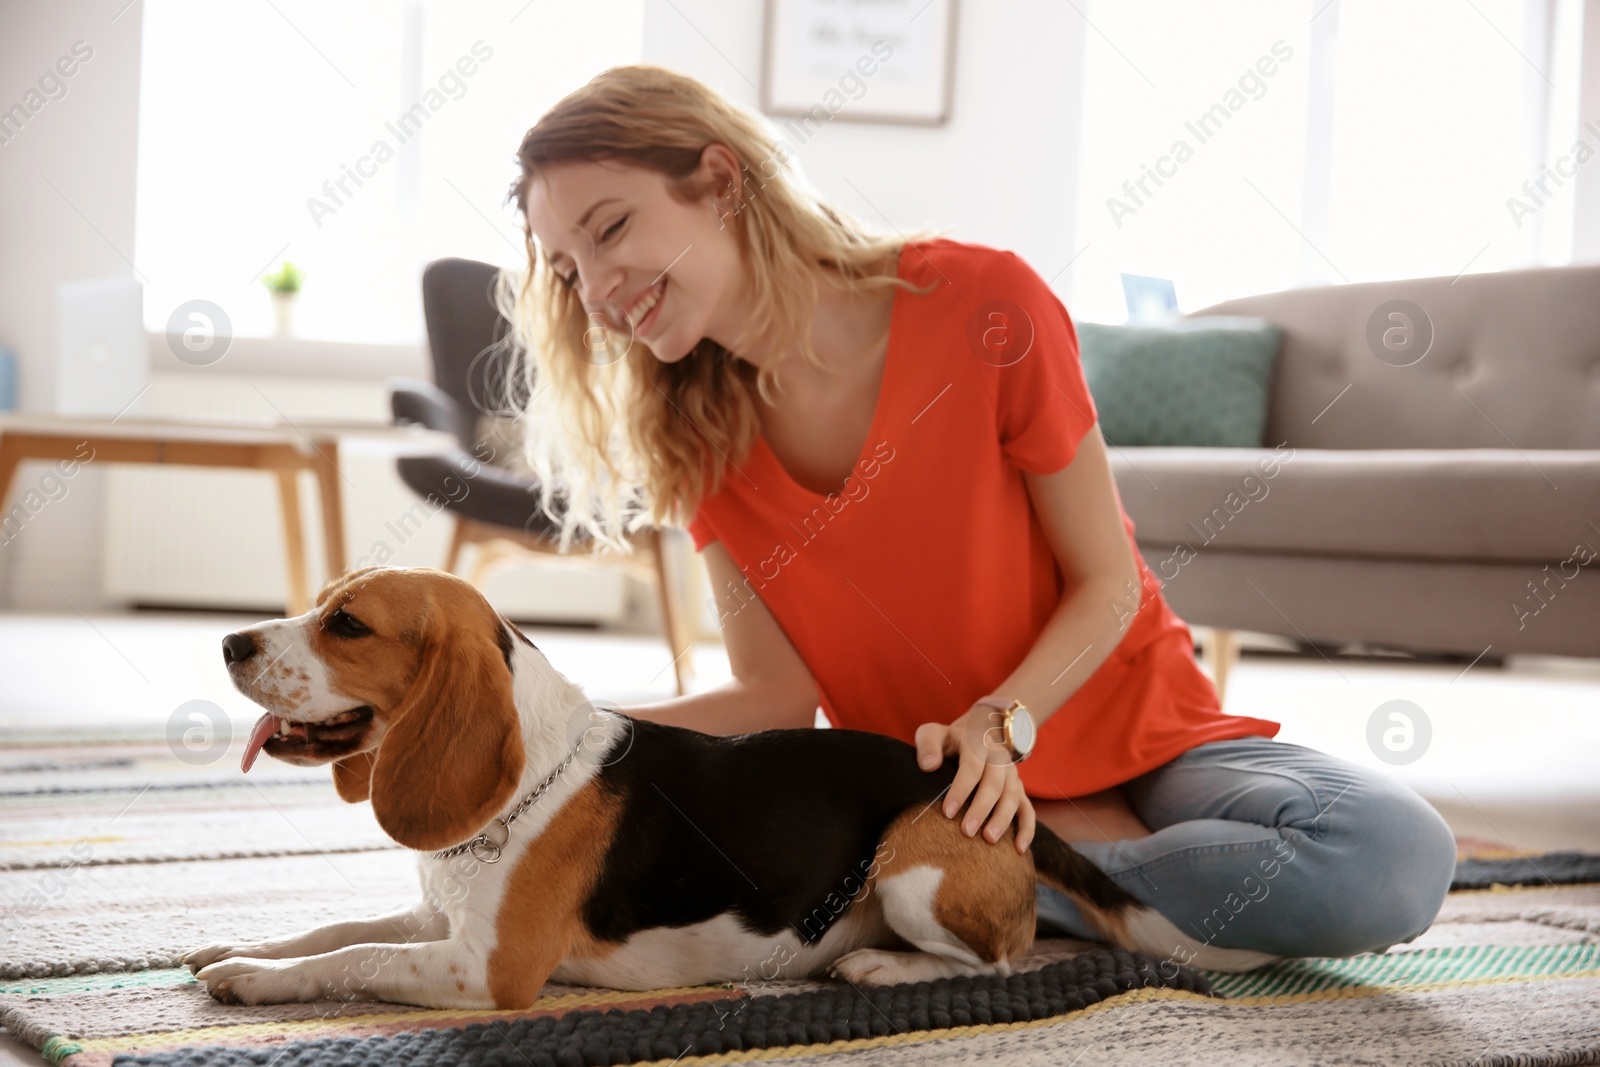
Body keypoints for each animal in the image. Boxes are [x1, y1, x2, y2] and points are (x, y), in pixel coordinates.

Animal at [184, 566, 1260, 1011]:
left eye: (348, 623)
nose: (227, 641)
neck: (525, 783)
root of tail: (975, 781)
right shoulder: (440, 922)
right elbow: (333, 928)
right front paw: (243, 948)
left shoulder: (486, 969)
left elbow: (353, 955)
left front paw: (256, 980)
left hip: (913, 867)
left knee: (1003, 961)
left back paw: (881, 969)